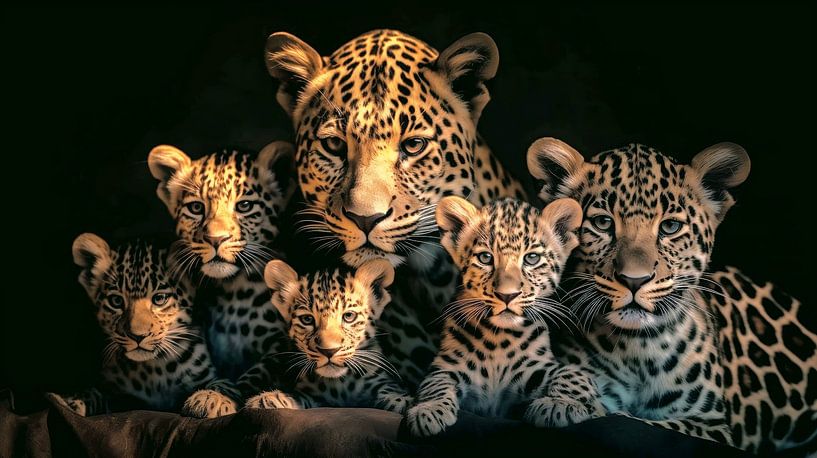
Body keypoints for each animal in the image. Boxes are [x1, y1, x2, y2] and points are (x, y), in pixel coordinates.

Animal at [49, 233, 238, 418]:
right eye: (116, 301)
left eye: (159, 299)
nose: (137, 336)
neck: (154, 370)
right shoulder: (115, 390)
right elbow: (96, 392)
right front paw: (73, 400)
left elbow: (225, 385)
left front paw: (211, 399)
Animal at [147, 140, 296, 394]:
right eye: (196, 208)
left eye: (244, 206)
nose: (216, 239)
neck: (232, 294)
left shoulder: (281, 345)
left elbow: (260, 372)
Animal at [244, 259, 411, 414]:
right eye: (307, 319)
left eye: (349, 316)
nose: (329, 351)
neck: (341, 383)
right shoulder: (313, 396)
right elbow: (297, 397)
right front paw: (268, 400)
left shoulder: (380, 380)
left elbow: (391, 391)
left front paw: (403, 403)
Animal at [407, 196, 605, 437]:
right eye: (485, 258)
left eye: (531, 258)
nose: (507, 295)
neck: (499, 339)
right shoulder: (449, 366)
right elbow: (435, 383)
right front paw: (428, 411)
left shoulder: (534, 369)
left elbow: (571, 374)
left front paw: (560, 404)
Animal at [527, 137, 816, 452]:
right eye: (603, 223)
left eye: (670, 227)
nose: (634, 280)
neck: (637, 350)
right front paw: (563, 401)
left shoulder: (711, 425)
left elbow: (640, 421)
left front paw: (583, 408)